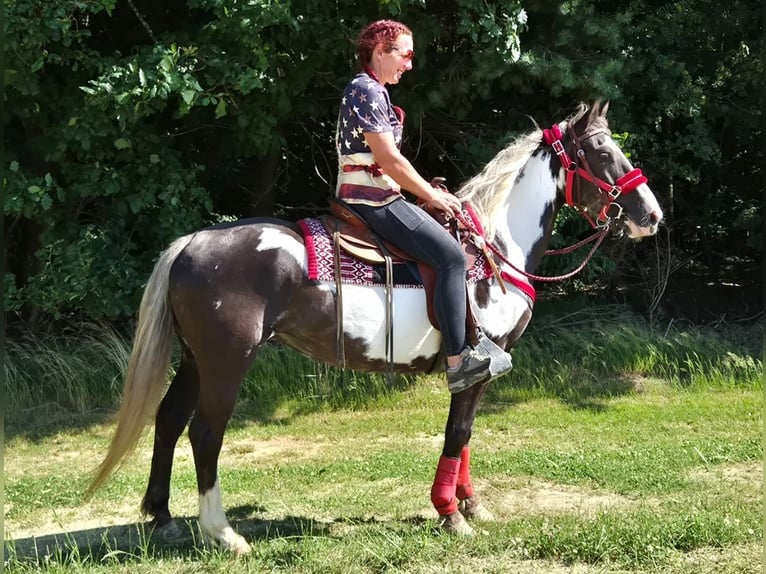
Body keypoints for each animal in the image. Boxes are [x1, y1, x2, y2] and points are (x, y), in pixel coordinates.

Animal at [87, 102, 663, 554]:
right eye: (603, 152)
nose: (651, 215)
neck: (495, 246)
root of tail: (191, 243)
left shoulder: (479, 373)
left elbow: (467, 434)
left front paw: (471, 505)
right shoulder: (476, 361)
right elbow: (457, 432)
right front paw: (449, 514)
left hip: (194, 360)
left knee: (167, 420)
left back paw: (164, 520)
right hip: (227, 363)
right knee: (205, 434)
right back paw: (223, 533)